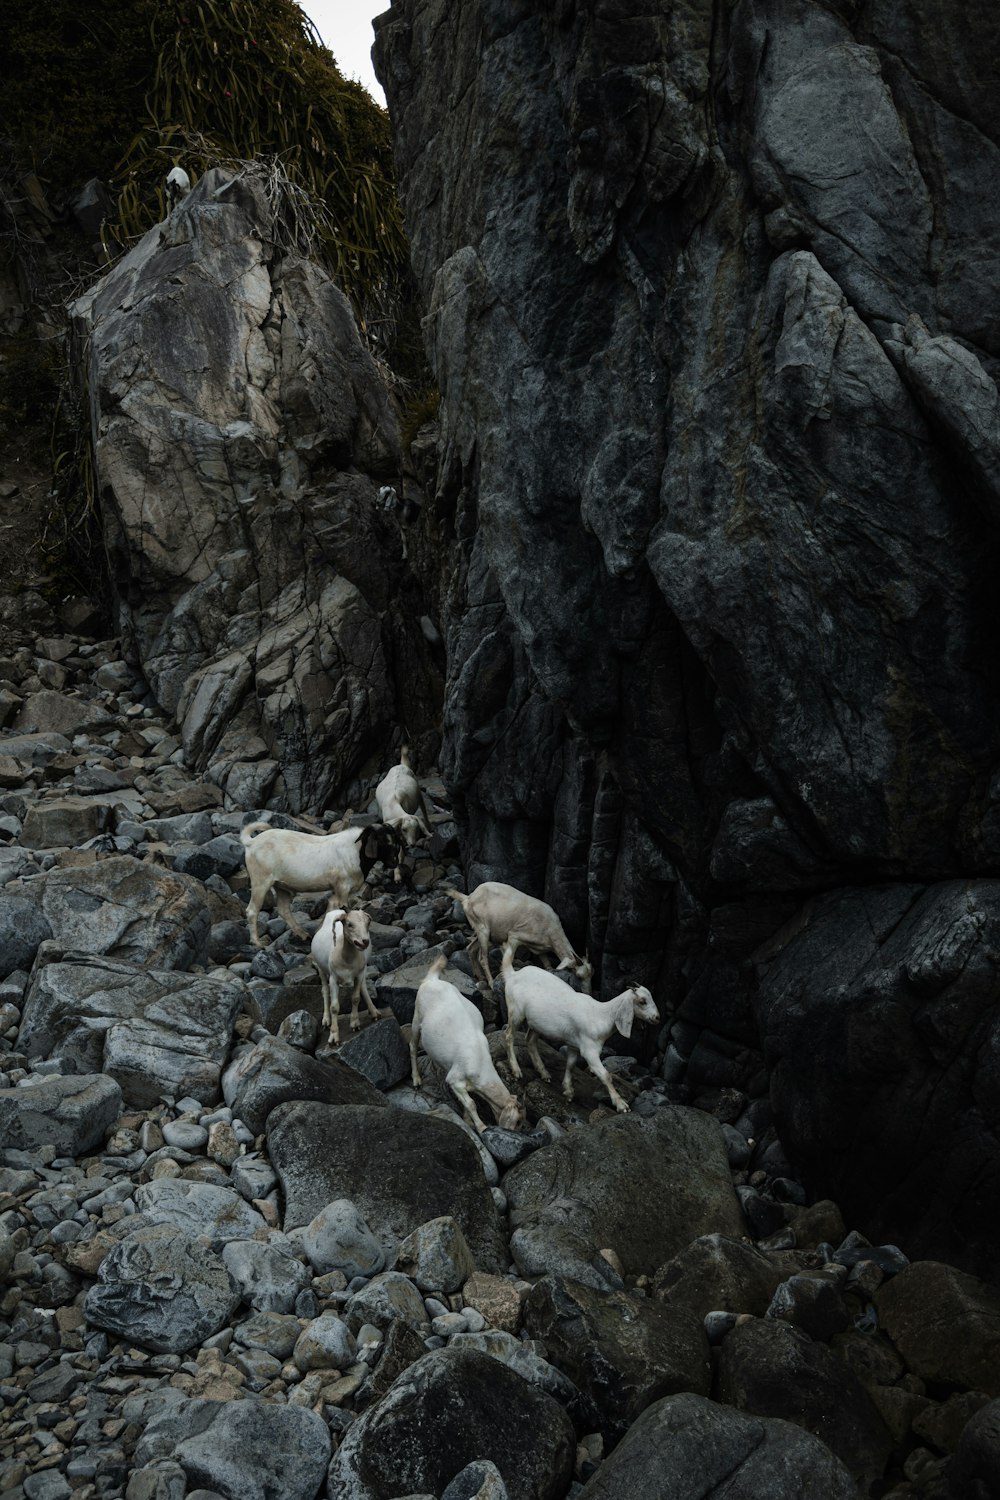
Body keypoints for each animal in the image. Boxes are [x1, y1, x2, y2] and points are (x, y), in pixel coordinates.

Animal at [239, 822, 398, 948]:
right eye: (382, 841)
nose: (394, 862)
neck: (355, 851)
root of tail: (251, 842)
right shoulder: (343, 888)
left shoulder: (337, 891)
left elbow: (331, 909)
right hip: (261, 881)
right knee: (252, 910)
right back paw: (257, 942)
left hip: (281, 886)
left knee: (284, 910)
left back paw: (304, 935)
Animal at [310, 900, 377, 1044]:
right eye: (349, 924)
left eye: (368, 922)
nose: (365, 941)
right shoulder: (333, 978)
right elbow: (334, 1007)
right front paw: (334, 1036)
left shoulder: (359, 974)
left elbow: (356, 998)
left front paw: (355, 1023)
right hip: (320, 968)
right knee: (324, 991)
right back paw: (326, 1020)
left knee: (364, 987)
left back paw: (374, 1011)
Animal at [410, 954, 527, 1128]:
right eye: (518, 1122)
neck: (480, 1065)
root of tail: (432, 979)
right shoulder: (455, 1079)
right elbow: (471, 1103)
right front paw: (481, 1127)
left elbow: (467, 1103)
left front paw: (467, 1119)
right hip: (417, 1018)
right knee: (412, 1046)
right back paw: (416, 1079)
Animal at [446, 882, 593, 990]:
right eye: (578, 975)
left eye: (591, 976)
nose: (588, 992)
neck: (551, 930)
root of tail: (467, 898)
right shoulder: (514, 936)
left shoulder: (540, 949)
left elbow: (548, 966)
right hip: (483, 928)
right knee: (482, 958)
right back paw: (491, 983)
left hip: (485, 931)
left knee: (471, 948)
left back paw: (480, 978)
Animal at [503, 948, 659, 1116]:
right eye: (642, 1001)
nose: (657, 1018)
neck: (601, 1015)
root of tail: (513, 974)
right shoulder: (589, 1050)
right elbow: (606, 1076)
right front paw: (621, 1104)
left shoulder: (574, 1045)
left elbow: (571, 1065)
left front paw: (568, 1091)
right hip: (516, 1011)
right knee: (508, 1035)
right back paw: (516, 1070)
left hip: (536, 1023)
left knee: (530, 1040)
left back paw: (544, 1073)